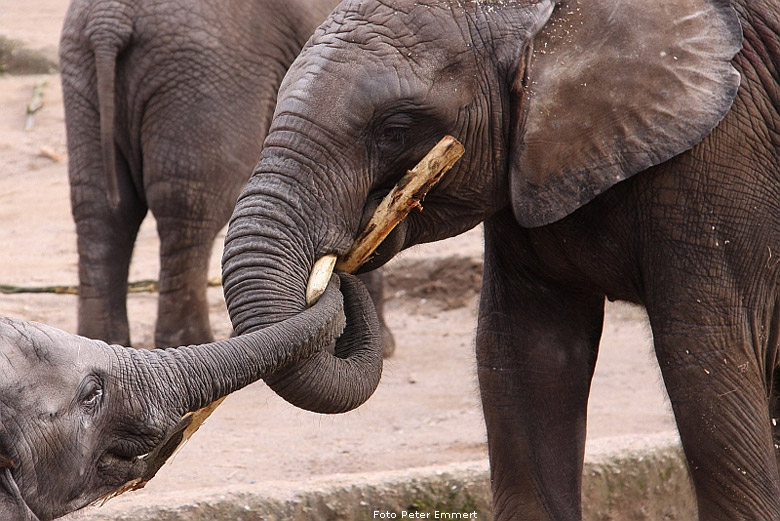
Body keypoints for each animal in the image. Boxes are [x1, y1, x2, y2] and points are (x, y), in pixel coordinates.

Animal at [59, 0, 396, 356]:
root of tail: (109, 18)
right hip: (205, 78)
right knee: (191, 208)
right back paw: (191, 342)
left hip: (83, 71)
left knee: (103, 209)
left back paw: (100, 343)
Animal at [213, 0, 780, 516]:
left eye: (395, 129)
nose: (339, 264)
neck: (551, 20)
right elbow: (526, 360)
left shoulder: (720, 160)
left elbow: (704, 366)